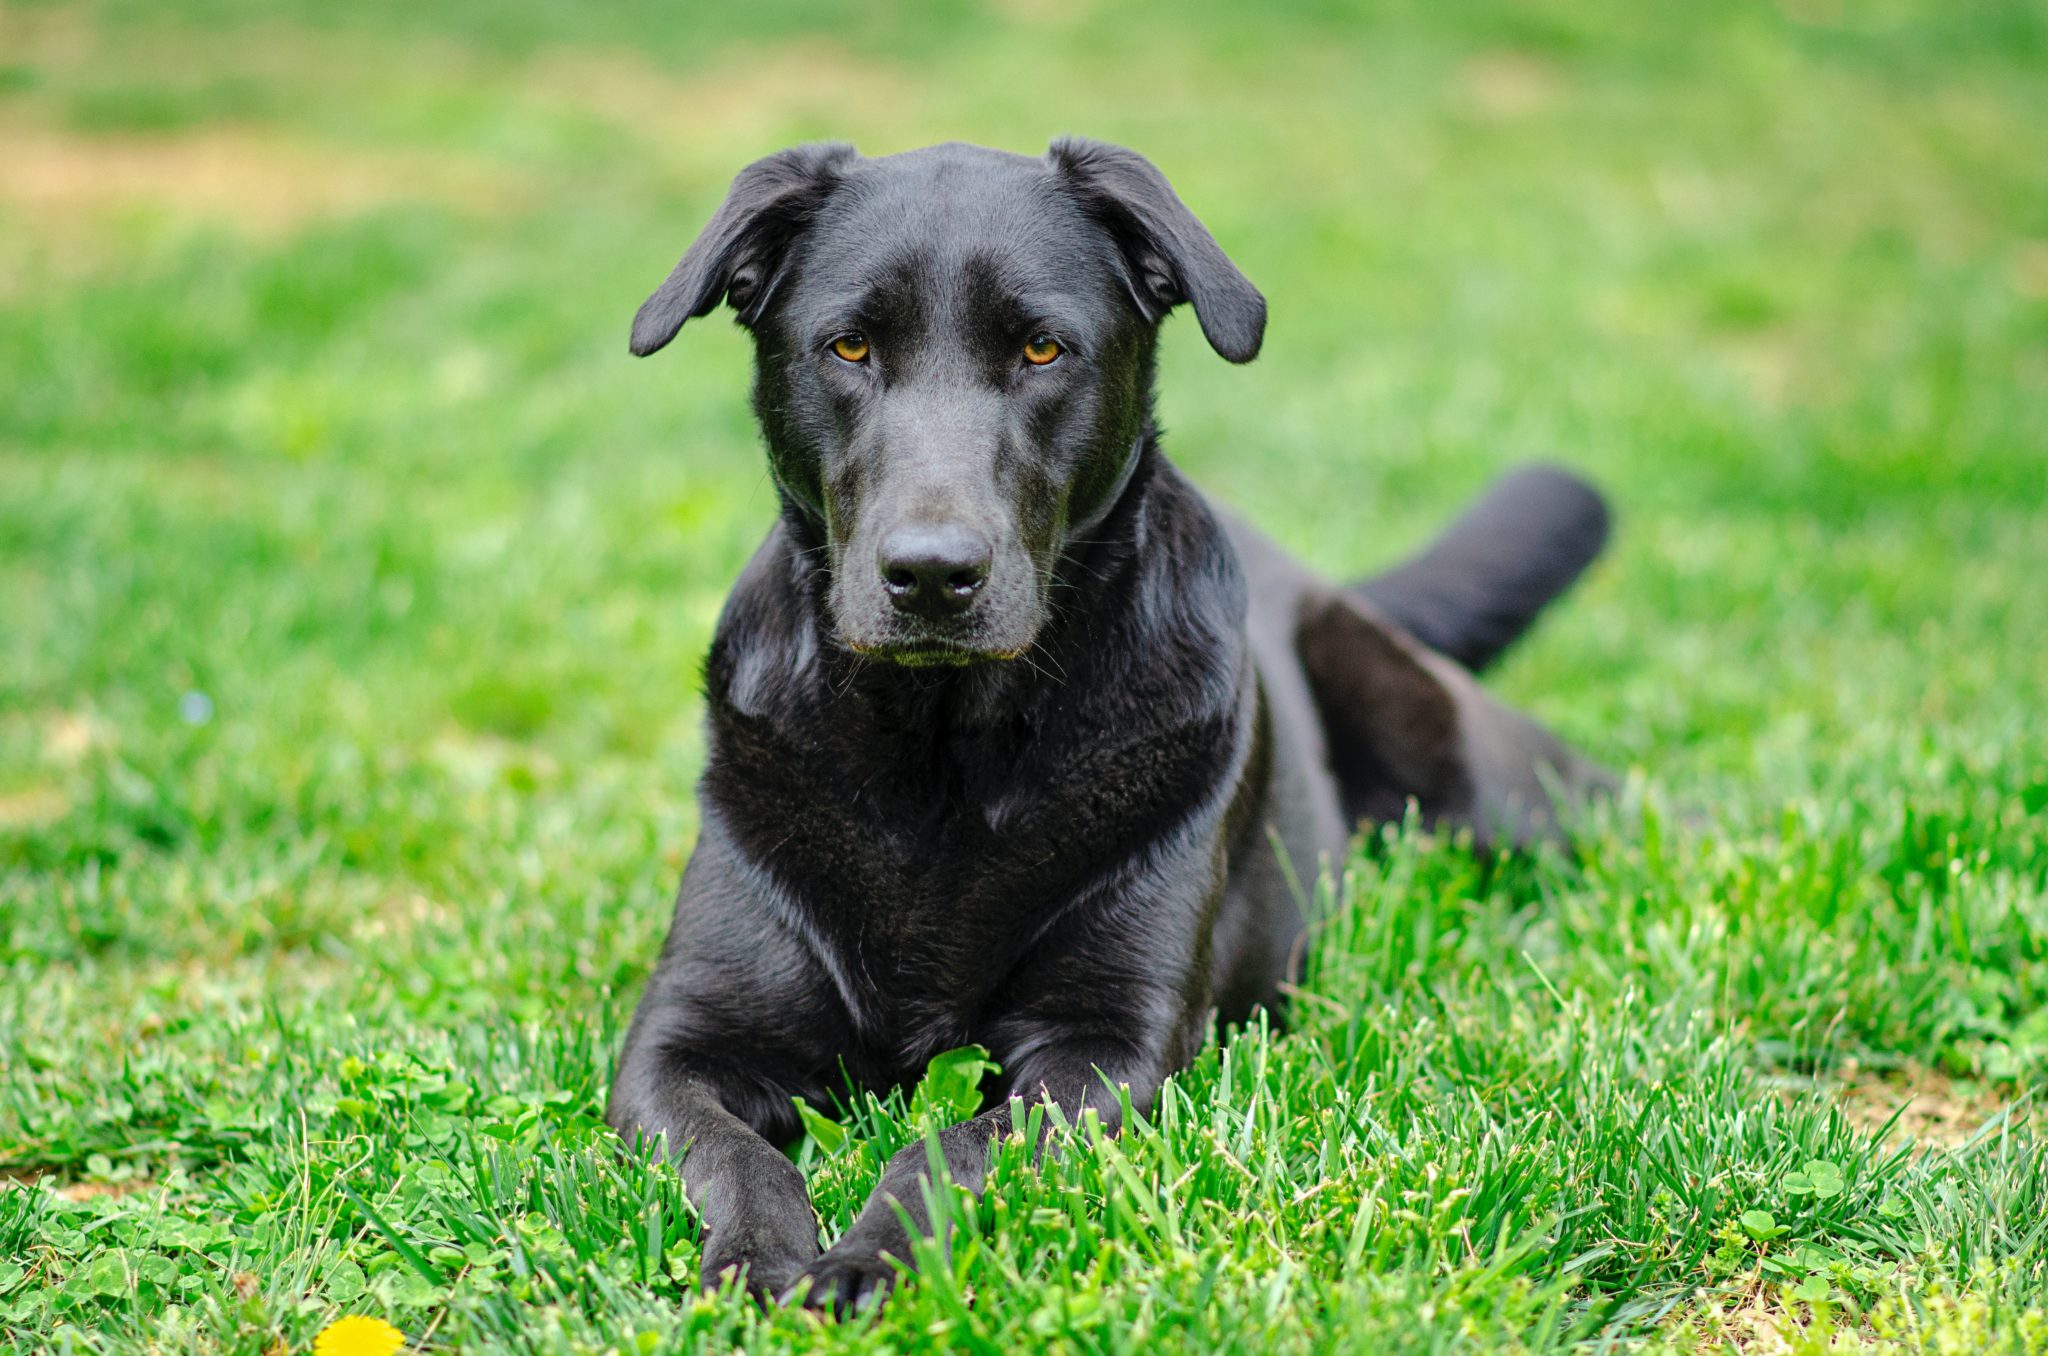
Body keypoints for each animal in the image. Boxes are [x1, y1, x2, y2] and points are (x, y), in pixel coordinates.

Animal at [606, 135, 1613, 1310]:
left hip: (1477, 775)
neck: (945, 748)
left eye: (1043, 349)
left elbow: (945, 1149)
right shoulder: (680, 1044)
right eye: (847, 345)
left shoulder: (1106, 1048)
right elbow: (736, 1154)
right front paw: (763, 1260)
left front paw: (868, 1258)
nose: (932, 575)